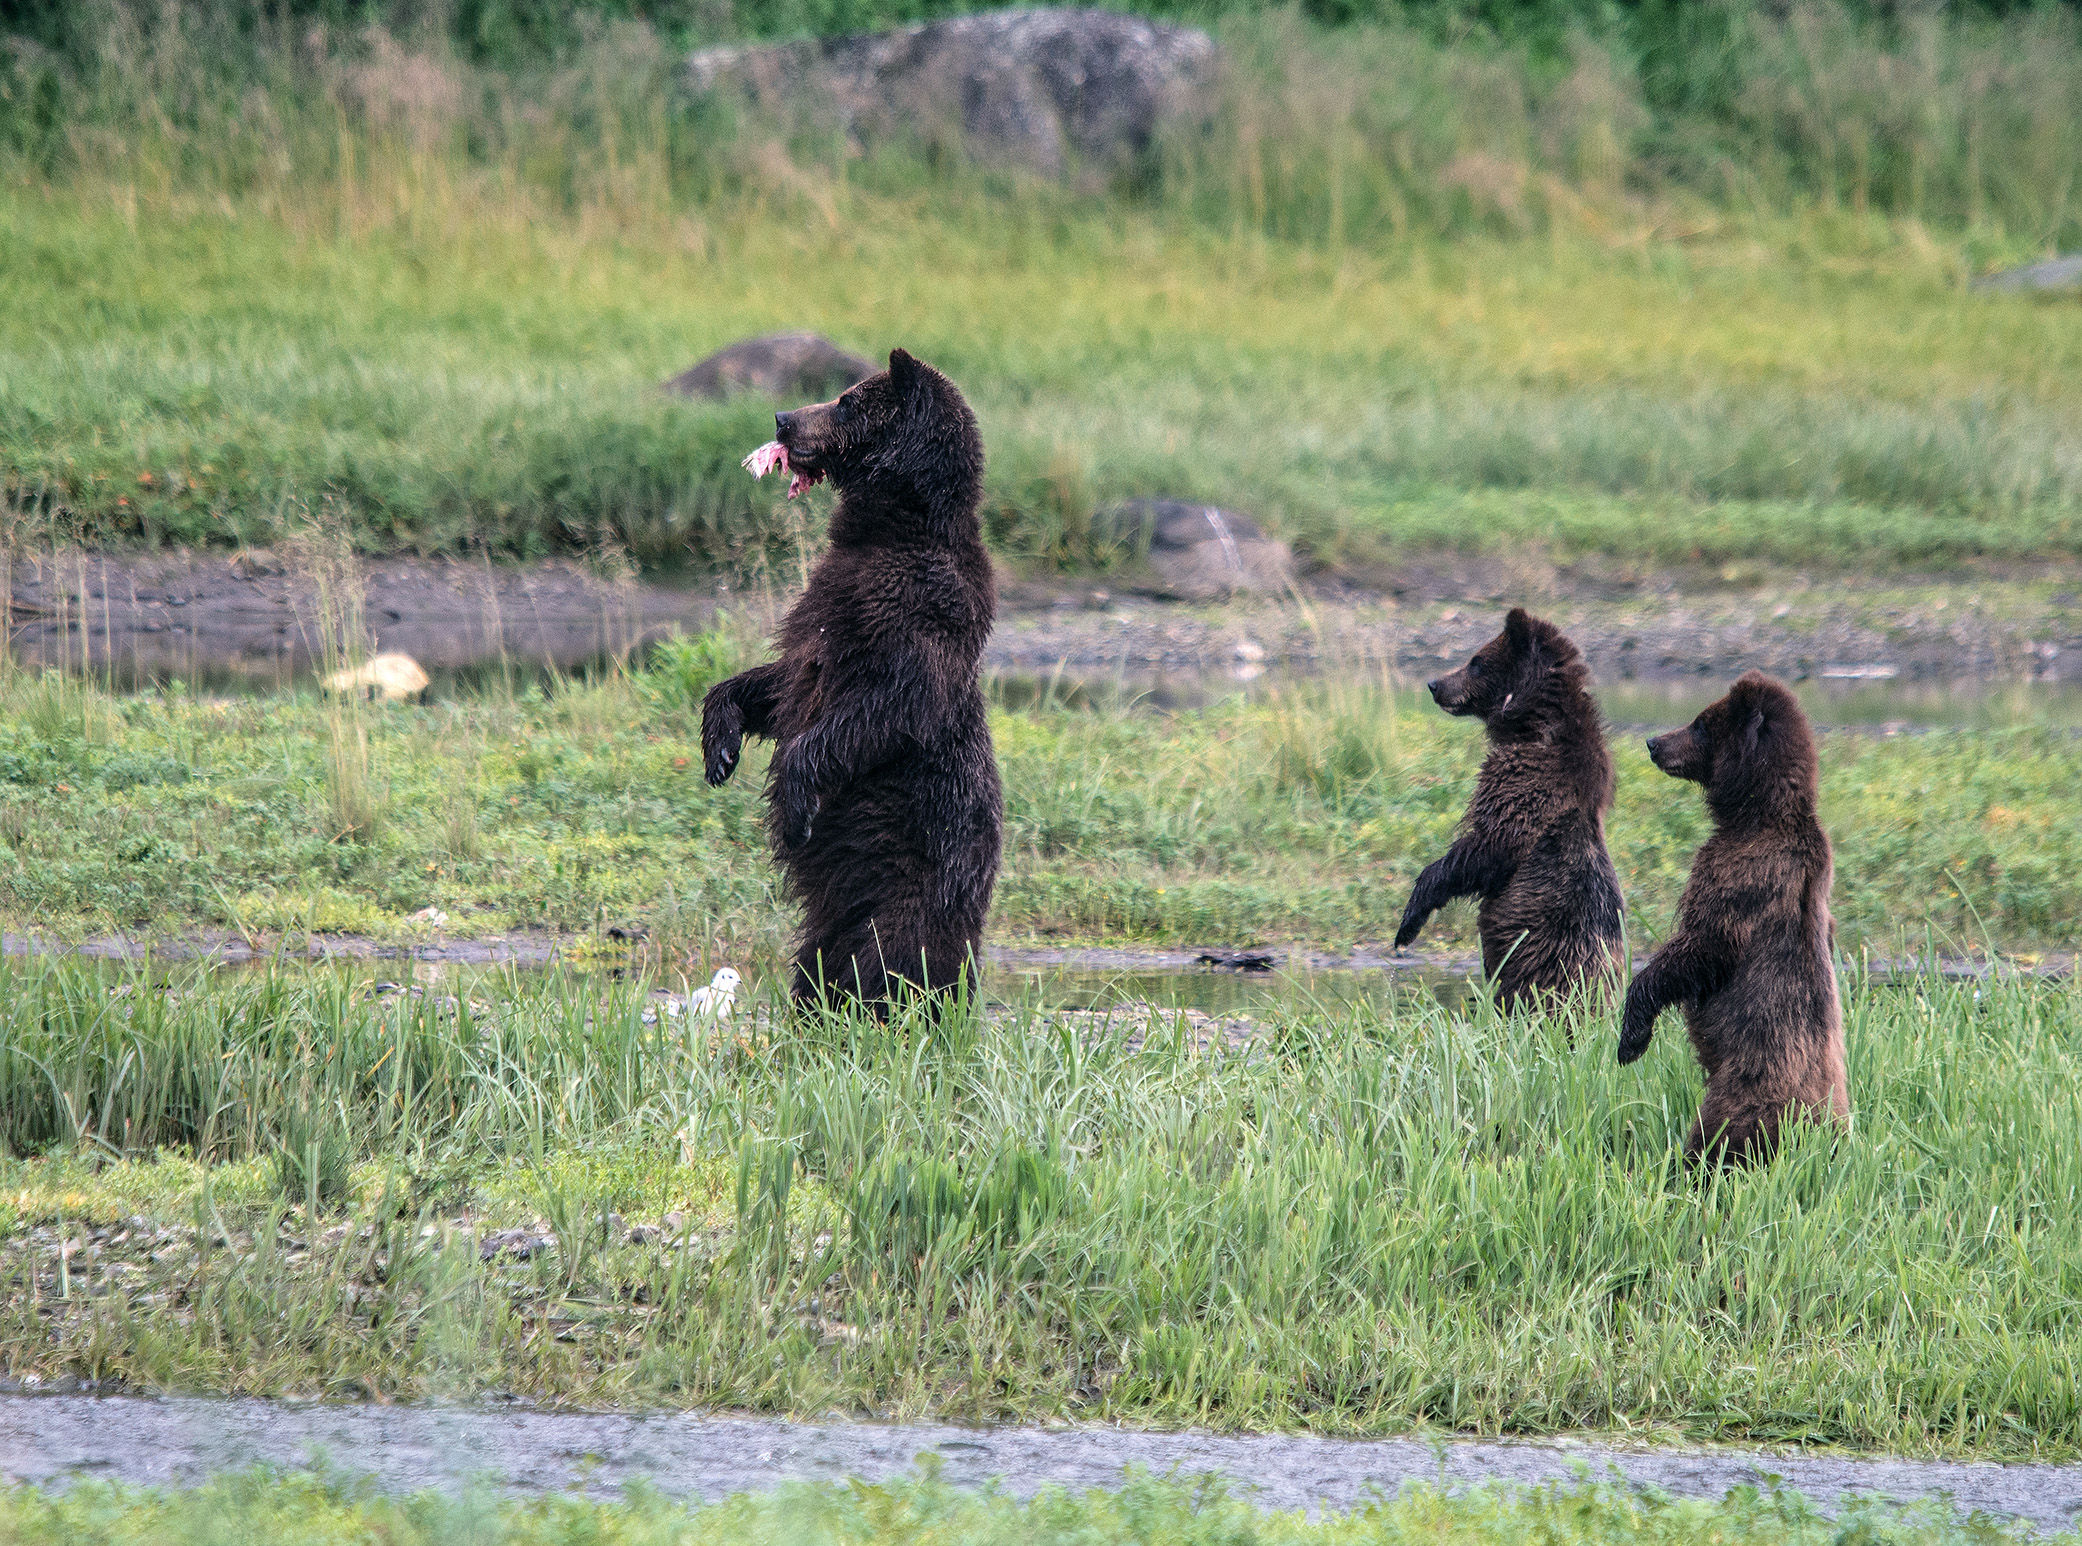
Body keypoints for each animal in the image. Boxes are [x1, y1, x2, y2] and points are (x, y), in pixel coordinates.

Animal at [701, 348, 1002, 1011]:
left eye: (844, 402)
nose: (784, 416)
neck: (894, 525)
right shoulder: (825, 608)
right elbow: (781, 683)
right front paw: (721, 746)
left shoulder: (914, 611)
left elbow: (884, 708)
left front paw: (796, 807)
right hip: (836, 913)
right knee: (821, 957)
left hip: (910, 877)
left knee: (890, 957)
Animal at [1392, 608, 1627, 1011]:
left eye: (1476, 662)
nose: (1435, 684)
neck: (1532, 724)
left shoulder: (1528, 781)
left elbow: (1488, 846)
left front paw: (1409, 921)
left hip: (1549, 966)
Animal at [1618, 671, 1846, 1167]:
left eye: (1702, 724)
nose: (1653, 742)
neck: (1756, 813)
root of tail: (1819, 1132)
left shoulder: (1742, 874)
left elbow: (1704, 944)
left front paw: (1632, 1037)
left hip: (1742, 1097)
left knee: (1714, 1140)